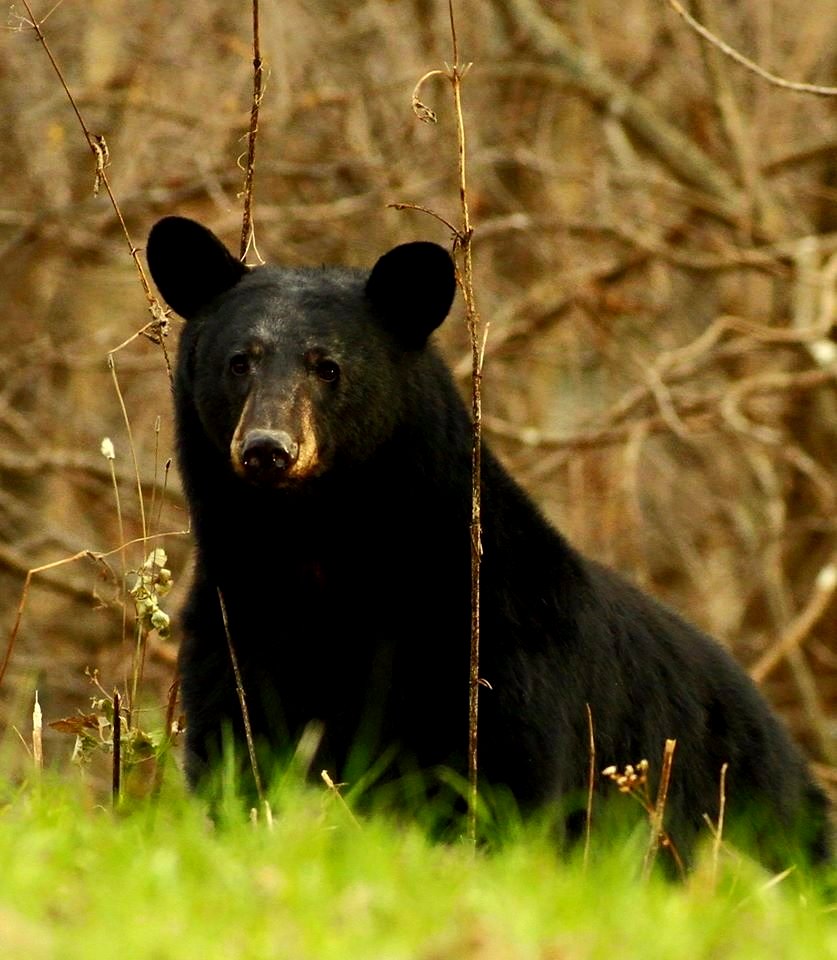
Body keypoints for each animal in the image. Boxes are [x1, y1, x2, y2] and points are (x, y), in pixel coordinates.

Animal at [145, 216, 828, 872]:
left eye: (328, 366)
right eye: (240, 361)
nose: (268, 450)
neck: (315, 545)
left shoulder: (493, 645)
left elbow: (503, 785)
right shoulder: (236, 628)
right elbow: (238, 759)